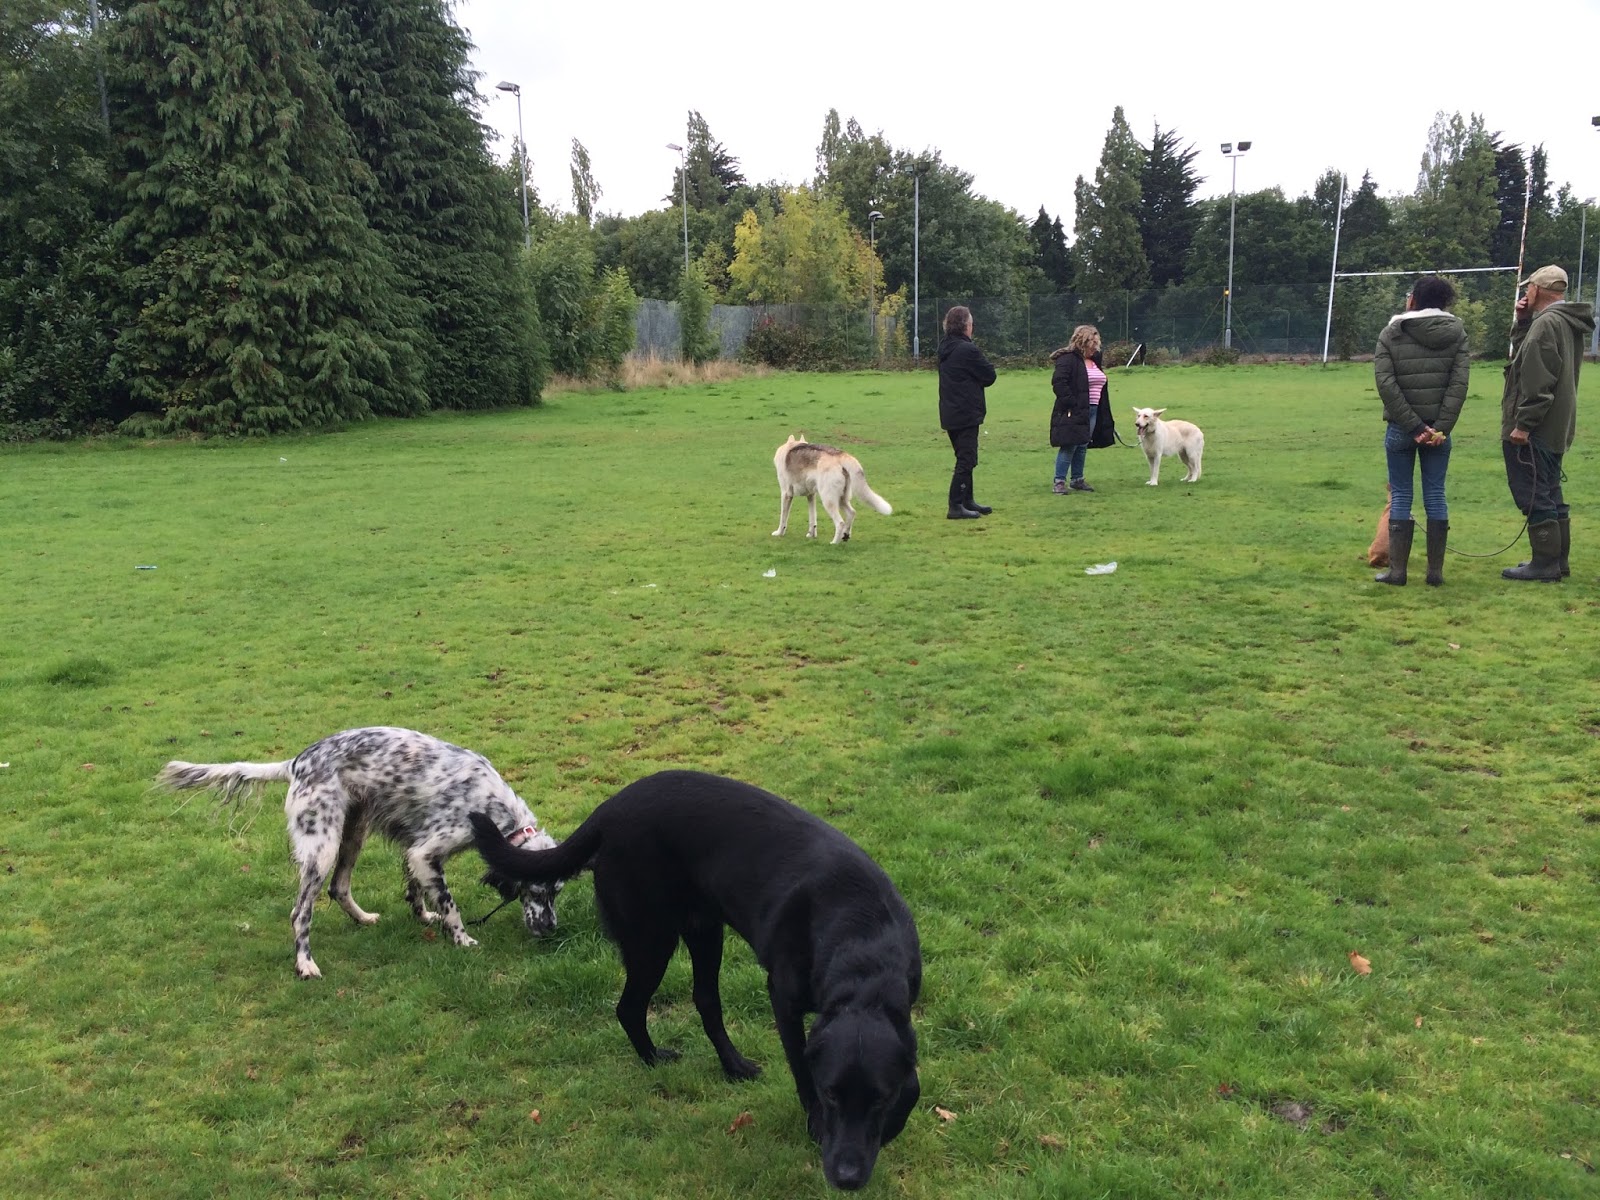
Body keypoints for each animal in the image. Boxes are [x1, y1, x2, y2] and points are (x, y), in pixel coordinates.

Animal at [159, 726, 560, 980]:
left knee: (339, 888)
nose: (551, 929)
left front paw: (424, 918)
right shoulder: (428, 850)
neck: (494, 809)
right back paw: (305, 964)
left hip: (354, 833)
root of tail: (296, 764)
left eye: (557, 891)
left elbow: (417, 891)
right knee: (300, 914)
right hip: (322, 847)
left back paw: (363, 918)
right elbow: (451, 906)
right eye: (536, 891)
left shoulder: (418, 851)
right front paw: (462, 939)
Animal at [470, 770, 921, 1192]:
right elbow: (801, 1067)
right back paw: (653, 1059)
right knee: (630, 1007)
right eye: (831, 1094)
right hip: (653, 938)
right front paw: (816, 1125)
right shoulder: (784, 1000)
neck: (863, 945)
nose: (847, 1177)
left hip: (705, 930)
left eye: (881, 1100)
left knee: (705, 1000)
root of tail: (609, 809)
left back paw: (733, 1065)